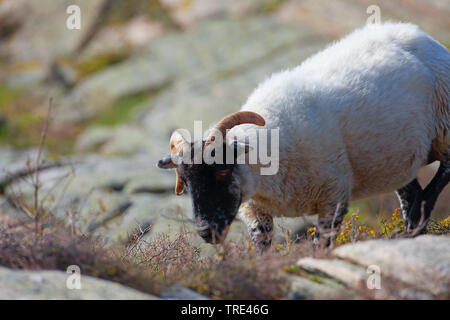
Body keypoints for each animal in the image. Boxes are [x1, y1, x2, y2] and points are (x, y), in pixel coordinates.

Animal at [156, 22, 448, 250]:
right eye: (186, 182)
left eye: (222, 170)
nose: (206, 232)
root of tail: (419, 33)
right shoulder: (256, 213)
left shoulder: (334, 196)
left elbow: (322, 245)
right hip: (400, 159)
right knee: (410, 191)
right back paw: (412, 229)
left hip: (445, 126)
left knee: (444, 172)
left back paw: (419, 215)